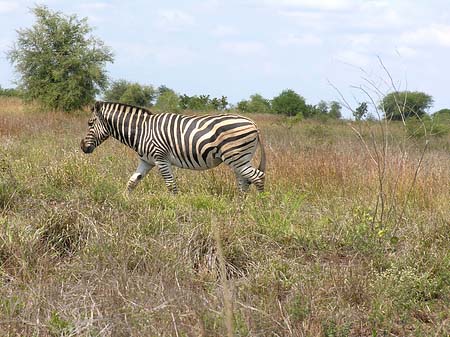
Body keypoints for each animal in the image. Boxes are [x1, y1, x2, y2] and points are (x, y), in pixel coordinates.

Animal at [81, 101, 266, 193]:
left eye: (90, 123)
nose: (82, 147)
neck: (142, 131)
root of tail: (253, 123)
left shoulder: (160, 159)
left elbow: (171, 185)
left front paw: (175, 208)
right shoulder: (146, 161)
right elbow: (132, 182)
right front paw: (125, 202)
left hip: (236, 157)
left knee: (258, 177)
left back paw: (259, 207)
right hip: (240, 159)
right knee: (244, 181)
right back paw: (239, 209)